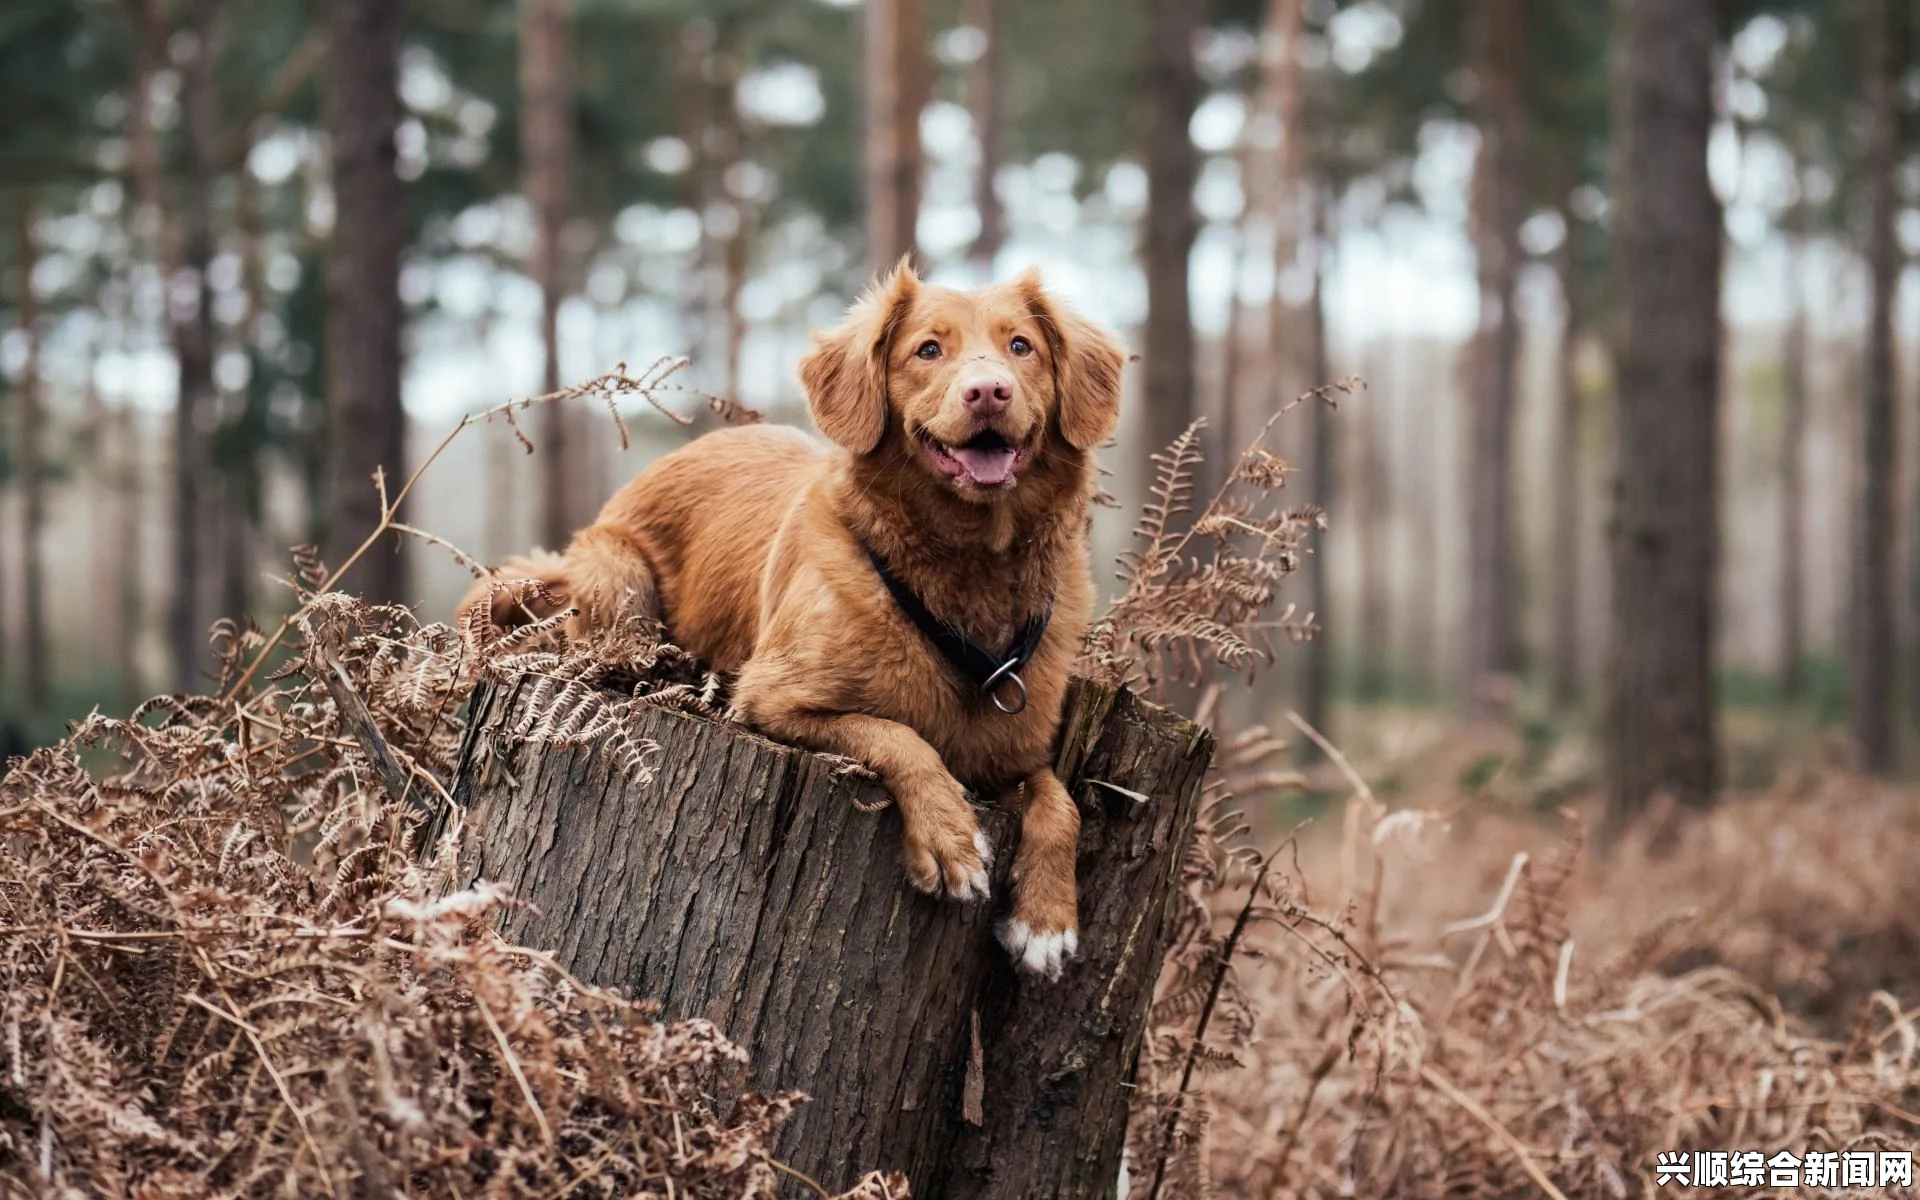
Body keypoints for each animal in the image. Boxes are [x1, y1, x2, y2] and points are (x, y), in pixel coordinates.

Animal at [460, 259, 1121, 975]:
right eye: (929, 350)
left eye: (1021, 346)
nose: (989, 392)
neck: (969, 572)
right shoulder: (772, 700)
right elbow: (898, 735)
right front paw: (950, 836)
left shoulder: (1013, 753)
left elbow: (1060, 802)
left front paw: (1046, 919)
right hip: (618, 579)